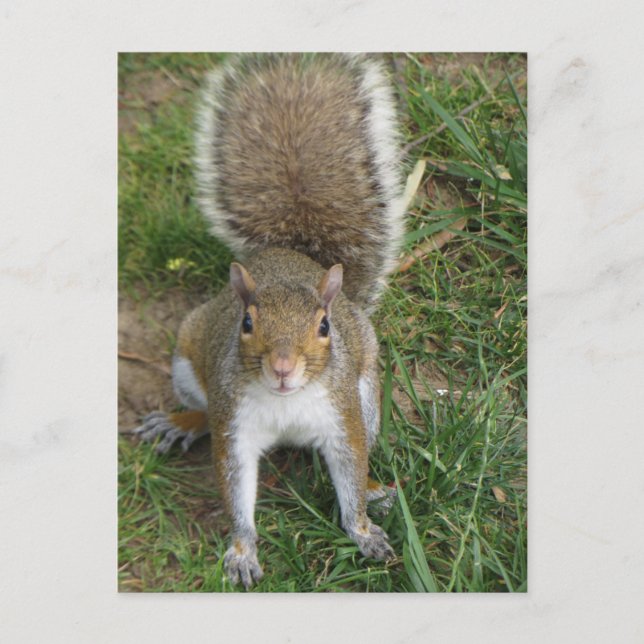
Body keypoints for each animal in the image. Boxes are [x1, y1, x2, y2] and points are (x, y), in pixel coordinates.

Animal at [135, 53, 407, 589]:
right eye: (246, 322)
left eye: (324, 327)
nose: (282, 367)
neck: (286, 403)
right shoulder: (236, 427)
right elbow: (235, 487)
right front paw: (242, 551)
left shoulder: (341, 416)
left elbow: (350, 469)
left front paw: (364, 529)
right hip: (188, 366)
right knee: (204, 413)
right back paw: (179, 422)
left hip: (366, 392)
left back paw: (376, 489)